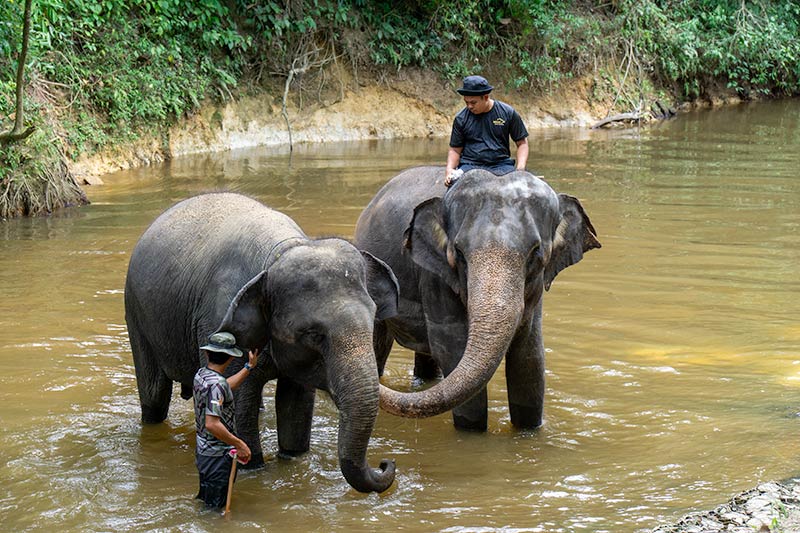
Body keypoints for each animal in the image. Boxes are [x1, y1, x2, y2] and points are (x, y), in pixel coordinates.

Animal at [124, 192, 399, 493]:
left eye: (372, 320)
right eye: (313, 334)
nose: (386, 463)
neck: (282, 251)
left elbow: (296, 401)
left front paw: (292, 458)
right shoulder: (218, 320)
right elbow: (237, 399)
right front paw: (252, 467)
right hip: (137, 315)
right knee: (154, 395)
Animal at [354, 166, 600, 431]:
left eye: (535, 252)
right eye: (459, 253)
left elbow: (529, 356)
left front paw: (529, 431)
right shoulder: (434, 277)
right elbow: (452, 348)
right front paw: (472, 432)